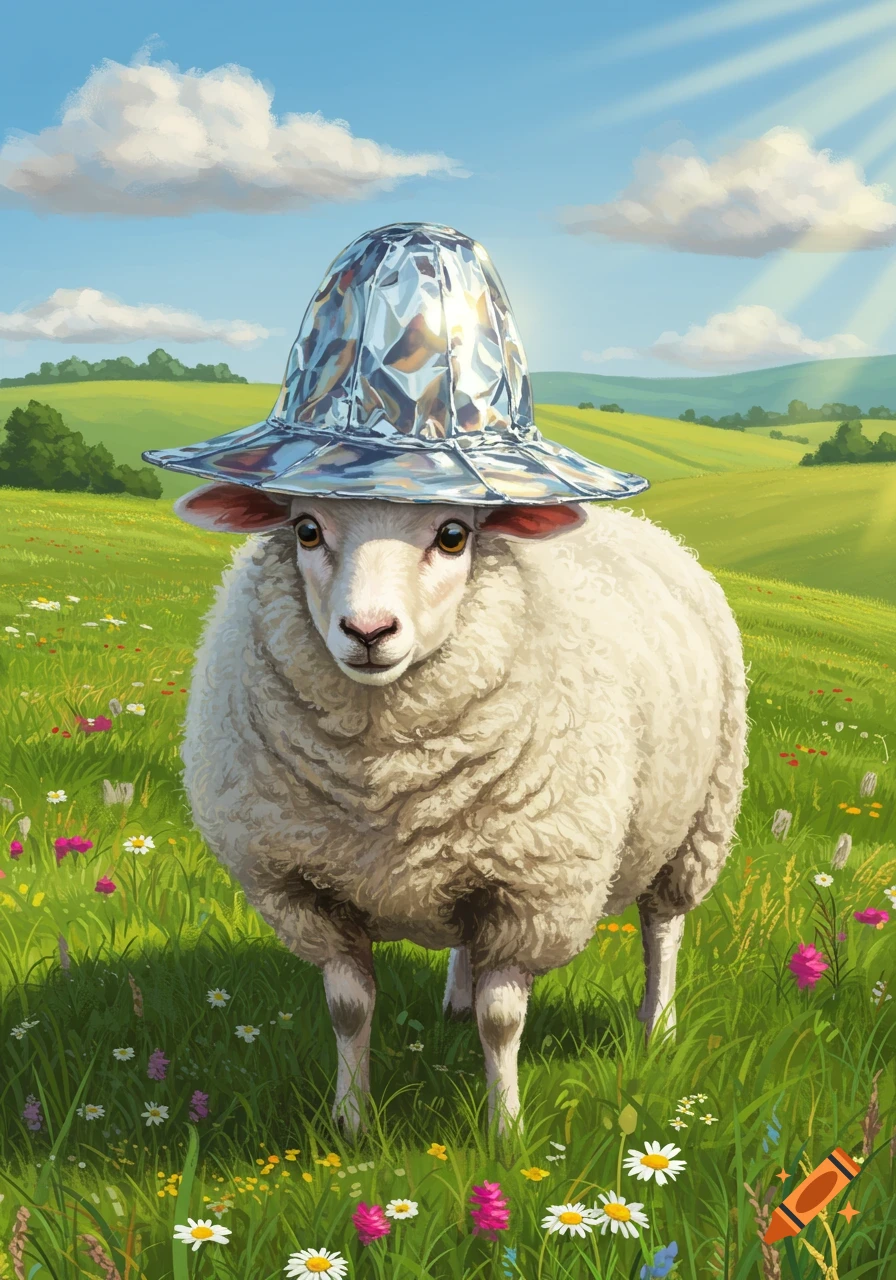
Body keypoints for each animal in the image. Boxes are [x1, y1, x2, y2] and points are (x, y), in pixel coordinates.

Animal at [174, 482, 749, 1136]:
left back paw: (658, 1027)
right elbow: (348, 1009)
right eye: (306, 530)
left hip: (699, 823)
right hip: (464, 849)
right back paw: (456, 1002)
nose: (368, 631)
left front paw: (506, 1131)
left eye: (453, 536)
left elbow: (501, 1021)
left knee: (662, 929)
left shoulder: (529, 895)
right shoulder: (305, 890)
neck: (383, 781)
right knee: (465, 936)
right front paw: (350, 1122)